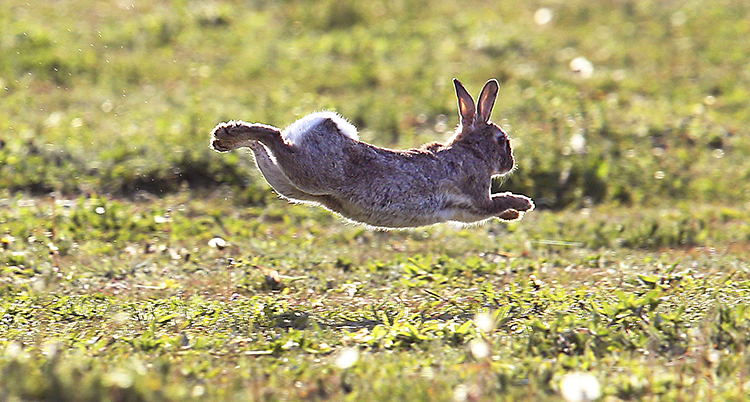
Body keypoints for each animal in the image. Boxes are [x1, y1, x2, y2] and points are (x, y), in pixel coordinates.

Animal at [212, 78, 536, 229]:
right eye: (501, 140)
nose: (510, 163)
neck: (471, 151)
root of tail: (323, 125)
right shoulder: (477, 193)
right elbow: (495, 201)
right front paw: (523, 204)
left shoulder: (468, 210)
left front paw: (514, 213)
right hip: (308, 172)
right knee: (274, 138)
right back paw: (228, 133)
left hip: (289, 184)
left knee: (264, 150)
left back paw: (227, 138)